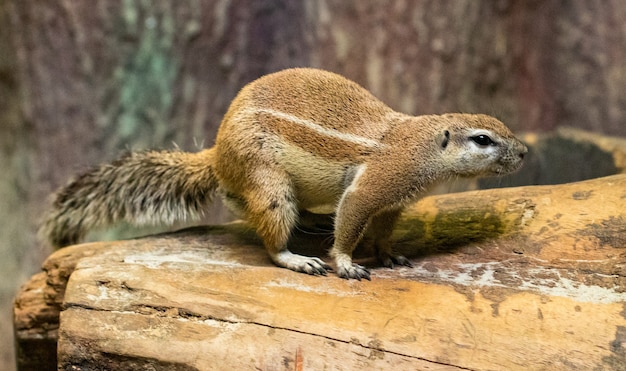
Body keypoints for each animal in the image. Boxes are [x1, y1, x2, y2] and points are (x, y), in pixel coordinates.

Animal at [40, 68, 528, 280]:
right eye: (483, 139)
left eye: (500, 125)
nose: (524, 151)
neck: (419, 143)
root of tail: (217, 156)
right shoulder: (375, 185)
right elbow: (351, 220)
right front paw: (347, 263)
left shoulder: (393, 202)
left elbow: (383, 231)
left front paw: (389, 254)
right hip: (270, 184)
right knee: (271, 241)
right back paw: (298, 257)